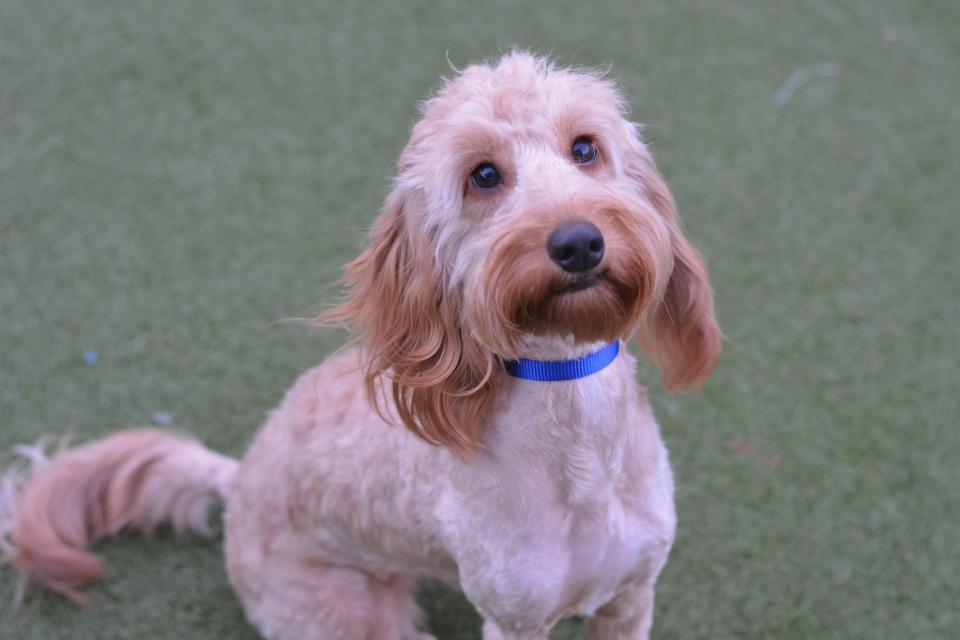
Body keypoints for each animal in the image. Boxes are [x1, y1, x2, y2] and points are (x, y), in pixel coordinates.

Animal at [0, 53, 720, 640]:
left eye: (585, 148)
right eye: (484, 175)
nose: (578, 242)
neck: (572, 410)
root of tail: (239, 478)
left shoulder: (631, 597)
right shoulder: (514, 618)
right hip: (347, 609)